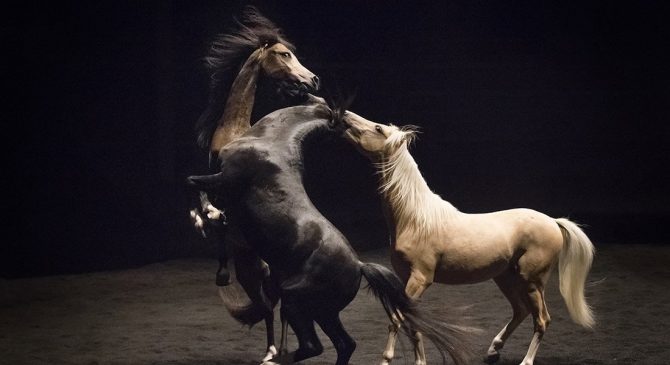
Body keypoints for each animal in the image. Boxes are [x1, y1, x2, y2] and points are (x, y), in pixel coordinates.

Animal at [186, 101, 476, 364]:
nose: (352, 120)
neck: (271, 143)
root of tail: (359, 266)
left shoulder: (223, 181)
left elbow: (194, 185)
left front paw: (205, 221)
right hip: (324, 312)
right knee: (345, 344)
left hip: (296, 300)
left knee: (313, 345)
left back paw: (274, 359)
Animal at [188, 6, 322, 362]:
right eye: (284, 54)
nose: (313, 79)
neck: (236, 131)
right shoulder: (215, 178)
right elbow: (203, 200)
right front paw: (207, 220)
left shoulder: (227, 181)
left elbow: (207, 198)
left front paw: (211, 218)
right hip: (258, 273)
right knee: (273, 307)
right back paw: (278, 350)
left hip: (263, 273)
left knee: (273, 308)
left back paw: (275, 351)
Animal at [344, 111, 596, 364]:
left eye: (378, 128)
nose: (344, 115)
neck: (415, 219)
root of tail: (553, 221)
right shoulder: (407, 278)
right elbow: (412, 322)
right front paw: (419, 361)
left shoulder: (420, 278)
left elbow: (397, 319)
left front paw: (386, 359)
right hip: (505, 277)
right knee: (521, 311)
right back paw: (493, 351)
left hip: (532, 281)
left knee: (542, 319)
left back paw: (525, 360)